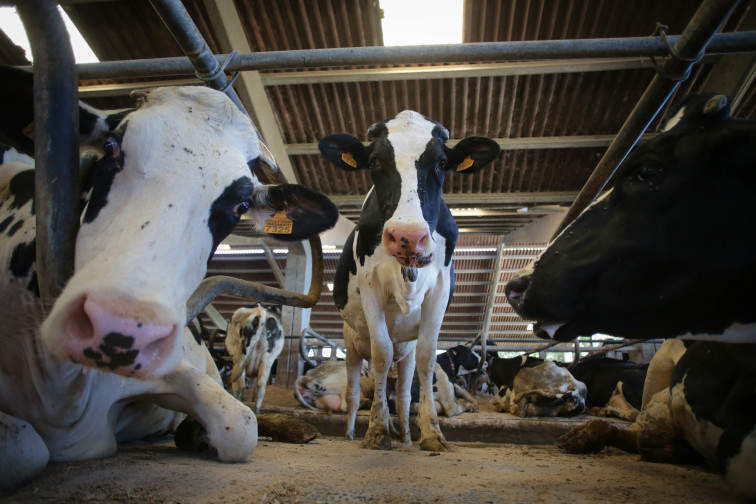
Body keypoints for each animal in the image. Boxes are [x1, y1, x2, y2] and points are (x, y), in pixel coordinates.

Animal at [0, 74, 336, 488]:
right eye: (110, 148)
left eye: (240, 204)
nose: (120, 327)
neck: (63, 385)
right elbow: (23, 446)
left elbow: (241, 425)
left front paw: (201, 433)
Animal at [318, 110, 500, 448]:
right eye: (374, 161)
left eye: (441, 162)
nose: (408, 237)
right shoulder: (371, 285)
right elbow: (381, 353)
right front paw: (377, 430)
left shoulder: (439, 289)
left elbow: (429, 357)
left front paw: (431, 432)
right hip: (351, 347)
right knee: (352, 394)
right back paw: (351, 434)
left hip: (405, 356)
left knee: (402, 395)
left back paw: (404, 437)